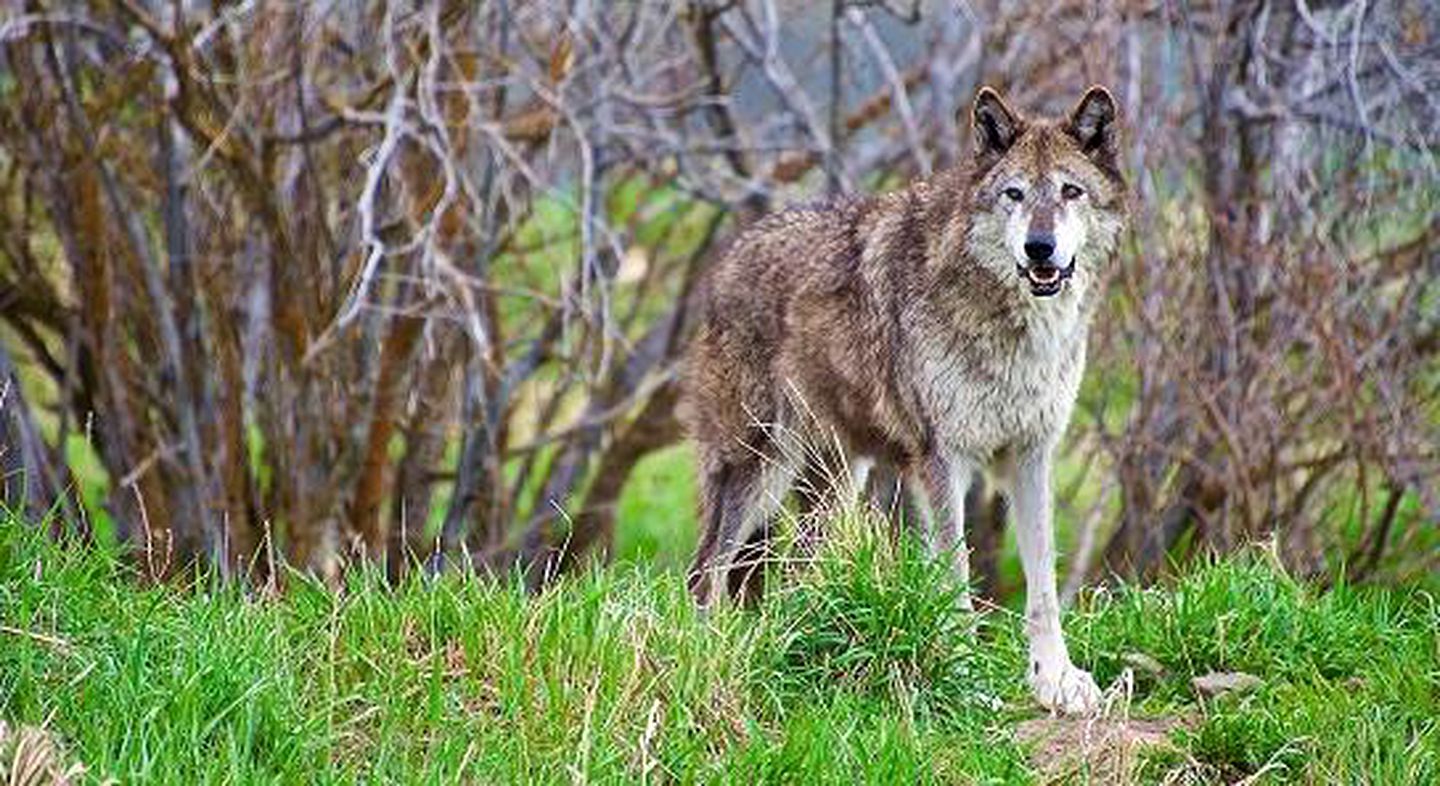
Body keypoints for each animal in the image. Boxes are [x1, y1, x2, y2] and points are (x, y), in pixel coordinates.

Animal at [679, 84, 1128, 708]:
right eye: (1014, 194)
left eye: (1070, 191)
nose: (1040, 248)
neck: (1016, 328)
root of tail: (726, 259)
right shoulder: (943, 462)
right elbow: (956, 576)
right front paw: (965, 679)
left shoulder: (1031, 457)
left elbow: (1043, 585)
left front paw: (1057, 681)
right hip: (758, 470)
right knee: (704, 572)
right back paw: (709, 662)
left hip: (836, 485)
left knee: (790, 570)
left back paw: (790, 652)